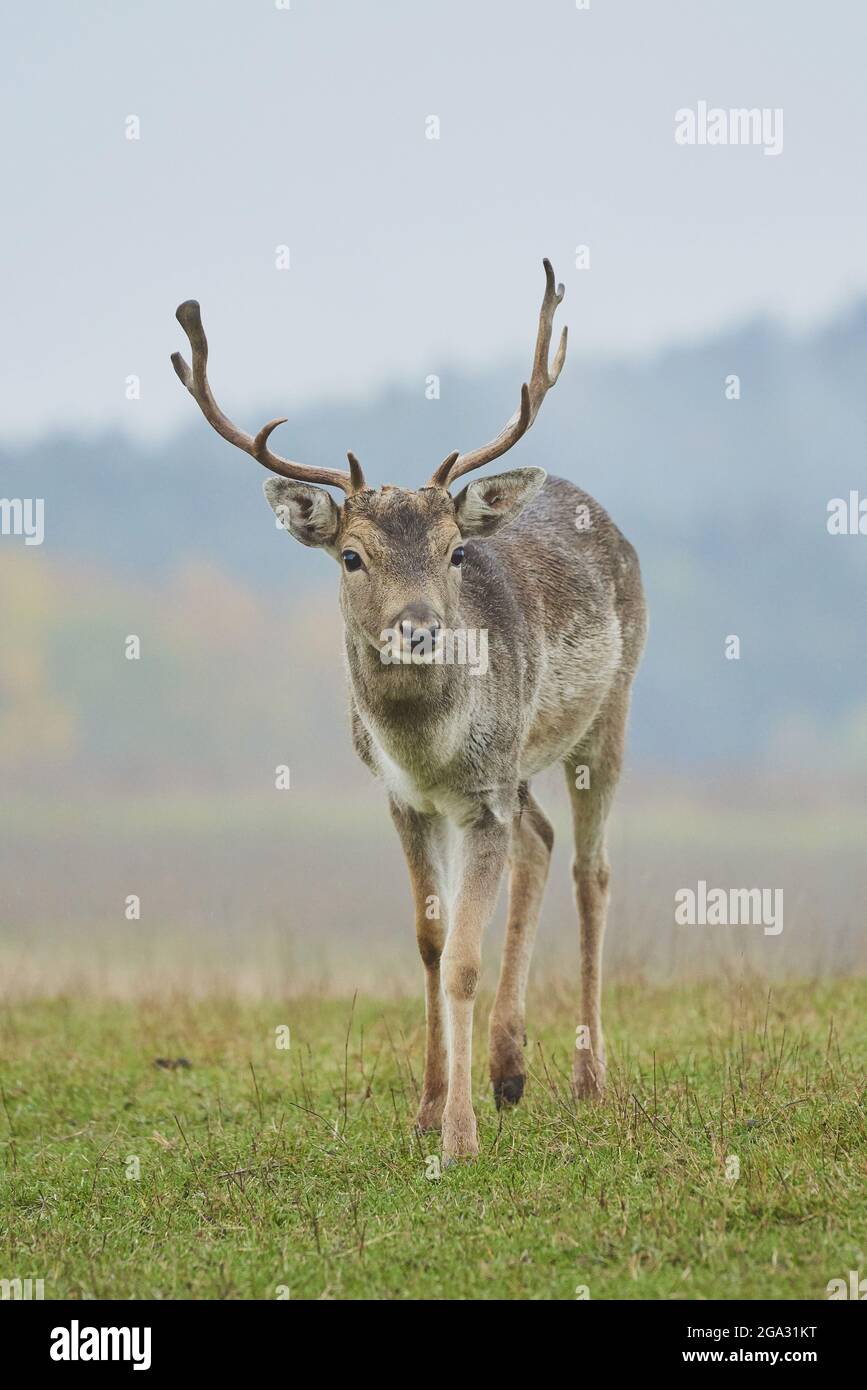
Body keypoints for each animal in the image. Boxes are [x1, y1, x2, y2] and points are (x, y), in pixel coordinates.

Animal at [170, 262, 644, 1162]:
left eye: (455, 551)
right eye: (351, 556)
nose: (419, 627)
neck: (429, 752)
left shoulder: (479, 798)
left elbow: (461, 958)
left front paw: (456, 1141)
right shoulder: (407, 798)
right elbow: (429, 946)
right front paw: (425, 1109)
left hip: (610, 707)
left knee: (592, 870)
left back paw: (590, 1081)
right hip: (519, 761)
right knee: (540, 838)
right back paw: (508, 1069)